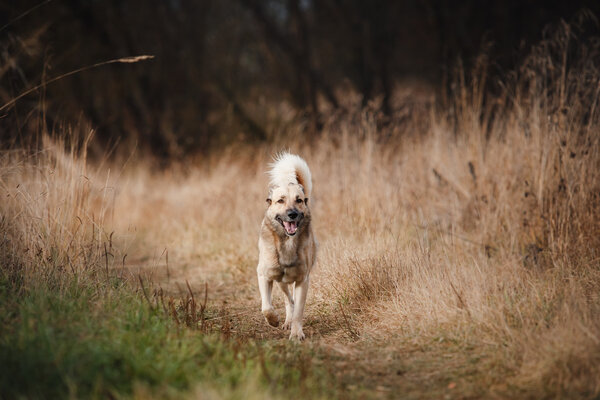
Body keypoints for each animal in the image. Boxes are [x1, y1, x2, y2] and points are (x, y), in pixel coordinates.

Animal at [255, 153, 316, 340]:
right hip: (280, 280)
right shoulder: (264, 275)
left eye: (299, 200)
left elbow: (299, 311)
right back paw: (285, 321)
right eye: (280, 201)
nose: (292, 214)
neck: (287, 243)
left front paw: (296, 334)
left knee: (292, 301)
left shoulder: (303, 280)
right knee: (288, 299)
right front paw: (273, 320)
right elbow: (266, 307)